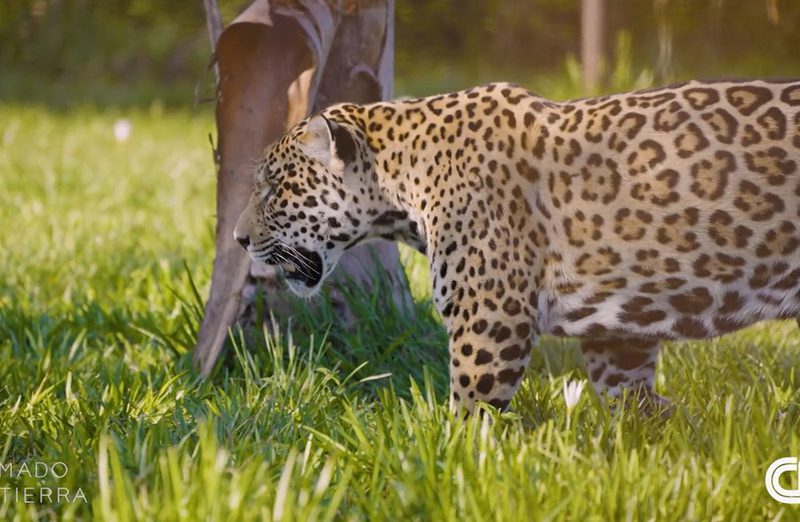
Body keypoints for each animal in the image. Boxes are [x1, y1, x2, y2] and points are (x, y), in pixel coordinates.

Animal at [234, 79, 800, 415]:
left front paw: (455, 470)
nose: (239, 239)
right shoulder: (619, 332)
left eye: (272, 186)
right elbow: (633, 401)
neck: (400, 180)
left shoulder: (489, 320)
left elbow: (469, 416)